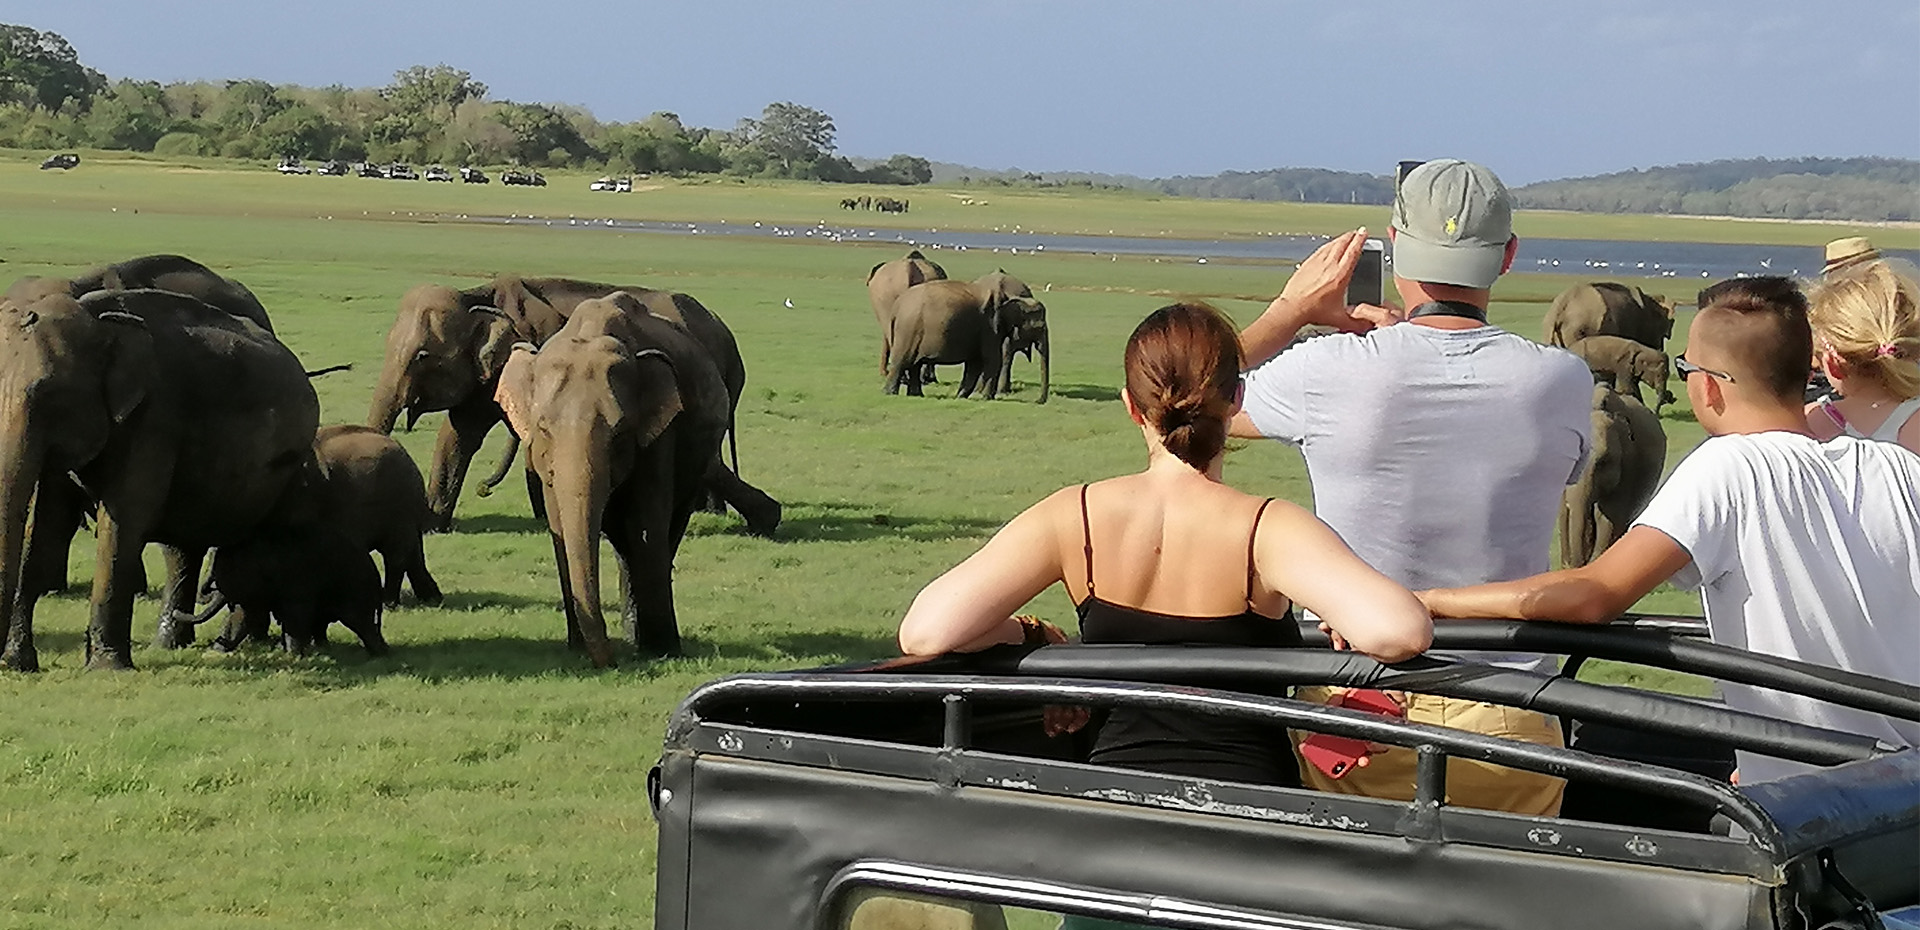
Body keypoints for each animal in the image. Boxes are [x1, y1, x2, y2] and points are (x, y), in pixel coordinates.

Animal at [0, 289, 318, 671]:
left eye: (52, 396)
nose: (3, 661)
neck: (98, 319)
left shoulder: (154, 418)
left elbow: (123, 521)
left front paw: (107, 668)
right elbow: (46, 527)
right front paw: (17, 663)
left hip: (289, 472)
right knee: (182, 550)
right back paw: (172, 643)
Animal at [365, 275, 772, 535]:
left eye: (421, 356)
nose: (484, 488)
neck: (479, 296)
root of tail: (724, 330)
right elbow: (459, 436)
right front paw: (433, 524)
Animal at [494, 292, 735, 665]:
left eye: (619, 434)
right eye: (543, 429)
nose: (611, 659)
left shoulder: (660, 434)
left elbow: (646, 524)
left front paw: (661, 651)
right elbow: (559, 526)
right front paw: (577, 648)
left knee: (666, 529)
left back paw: (651, 641)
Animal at [884, 280, 1046, 401]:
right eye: (1040, 327)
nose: (1039, 401)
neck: (1011, 298)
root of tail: (896, 307)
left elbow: (974, 364)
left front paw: (960, 396)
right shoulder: (990, 326)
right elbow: (992, 360)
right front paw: (986, 398)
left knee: (915, 365)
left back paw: (916, 395)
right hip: (908, 331)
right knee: (902, 362)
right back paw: (890, 393)